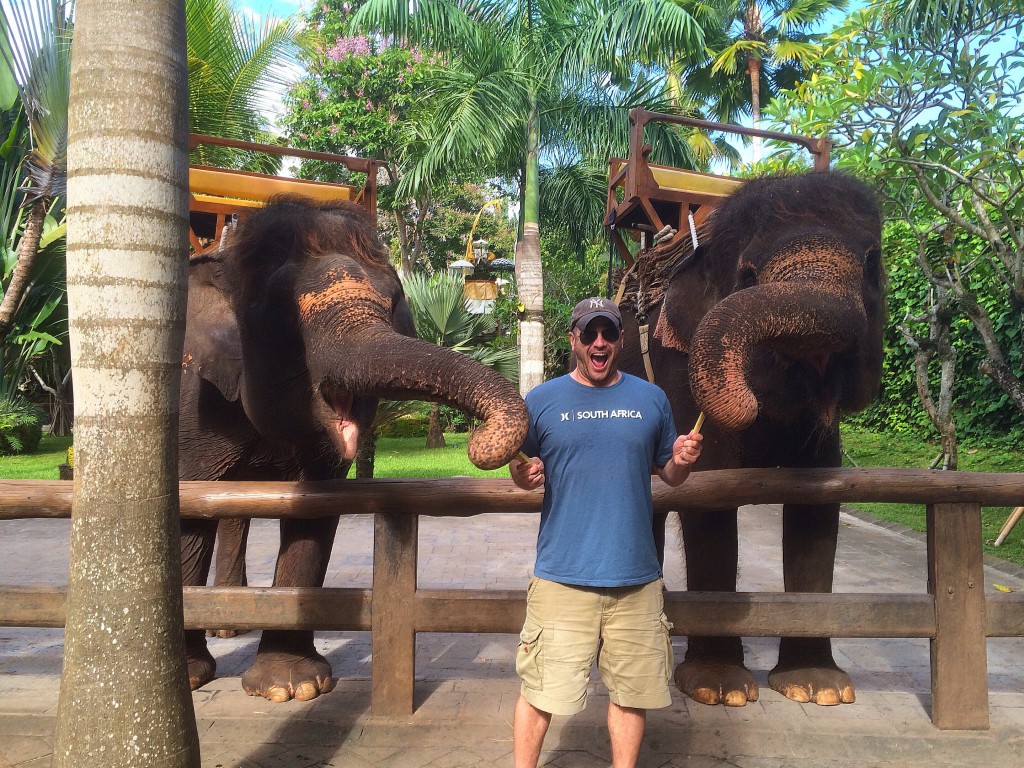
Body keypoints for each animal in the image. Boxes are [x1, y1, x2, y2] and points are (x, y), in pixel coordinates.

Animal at [180, 193, 528, 704]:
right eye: (280, 319)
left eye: (393, 303)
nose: (482, 441)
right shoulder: (190, 397)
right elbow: (188, 508)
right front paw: (191, 674)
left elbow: (315, 512)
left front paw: (293, 686)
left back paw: (232, 623)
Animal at [614, 173, 888, 708]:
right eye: (747, 275)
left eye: (872, 262)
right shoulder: (680, 371)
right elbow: (710, 495)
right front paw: (720, 690)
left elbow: (817, 502)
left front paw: (817, 688)